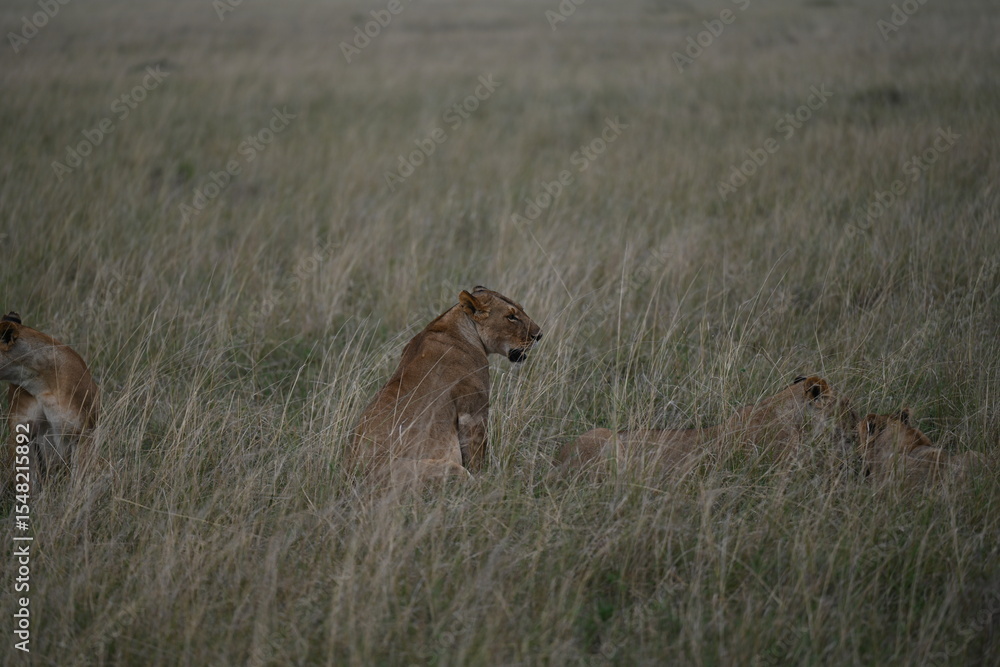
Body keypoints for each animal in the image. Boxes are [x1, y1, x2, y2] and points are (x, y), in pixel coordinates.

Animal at [349, 287, 542, 487]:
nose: (539, 335)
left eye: (521, 310)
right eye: (511, 317)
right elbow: (477, 456)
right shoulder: (473, 413)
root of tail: (356, 480)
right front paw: (485, 480)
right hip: (448, 469)